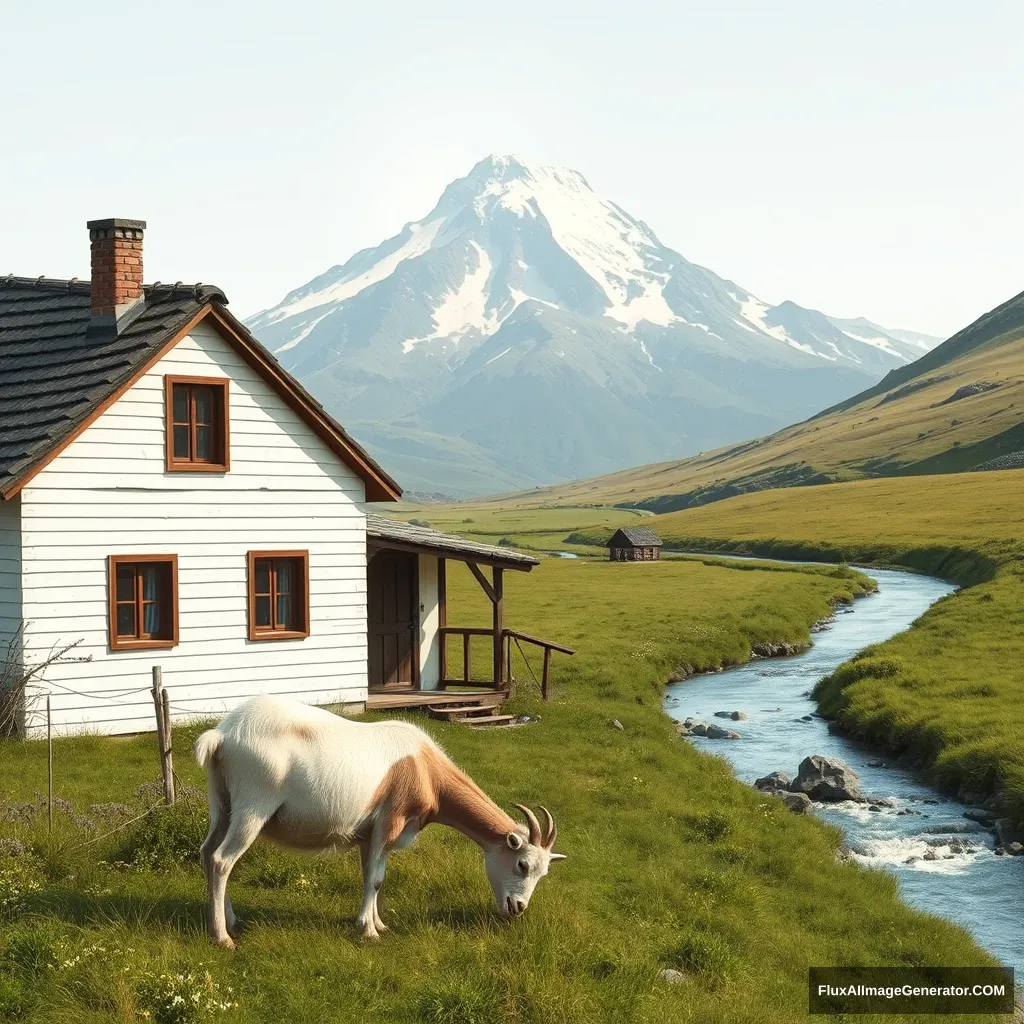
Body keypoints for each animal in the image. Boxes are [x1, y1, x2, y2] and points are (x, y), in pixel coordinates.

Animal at [192, 692, 569, 946]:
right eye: (522, 864)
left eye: (544, 873)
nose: (517, 908)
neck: (424, 766)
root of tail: (223, 735)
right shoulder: (391, 821)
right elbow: (375, 880)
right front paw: (370, 931)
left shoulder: (370, 835)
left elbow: (372, 877)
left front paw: (376, 923)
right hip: (252, 809)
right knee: (223, 860)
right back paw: (222, 937)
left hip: (222, 806)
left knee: (208, 853)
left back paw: (227, 920)